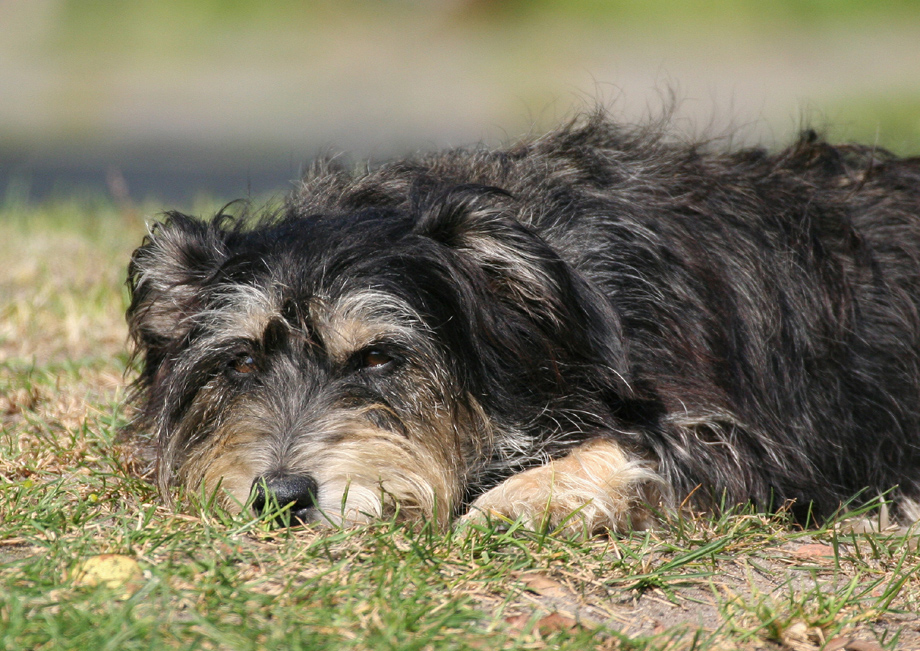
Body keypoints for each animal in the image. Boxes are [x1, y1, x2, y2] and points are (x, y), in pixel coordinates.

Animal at [124, 114, 920, 536]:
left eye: (379, 358)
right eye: (240, 363)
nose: (281, 498)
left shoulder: (751, 442)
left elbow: (633, 446)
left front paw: (515, 497)